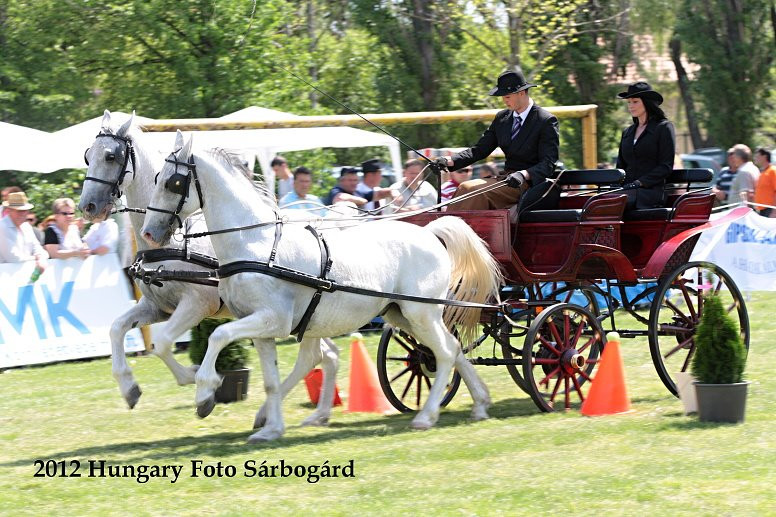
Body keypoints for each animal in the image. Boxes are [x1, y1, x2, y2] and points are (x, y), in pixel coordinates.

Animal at [78, 111, 340, 426]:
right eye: (87, 155)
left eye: (110, 156)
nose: (88, 207)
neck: (174, 240)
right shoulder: (157, 306)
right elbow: (117, 328)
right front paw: (130, 387)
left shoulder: (197, 304)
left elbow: (162, 342)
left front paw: (199, 382)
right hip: (311, 317)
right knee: (326, 355)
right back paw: (313, 413)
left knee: (319, 356)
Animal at [141, 131, 504, 442]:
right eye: (155, 178)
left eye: (174, 182)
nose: (148, 233)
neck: (256, 243)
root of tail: (430, 232)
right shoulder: (260, 329)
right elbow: (271, 381)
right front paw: (270, 430)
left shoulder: (271, 320)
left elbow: (217, 335)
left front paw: (205, 393)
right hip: (400, 314)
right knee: (453, 349)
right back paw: (480, 404)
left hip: (420, 313)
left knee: (443, 353)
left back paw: (426, 416)